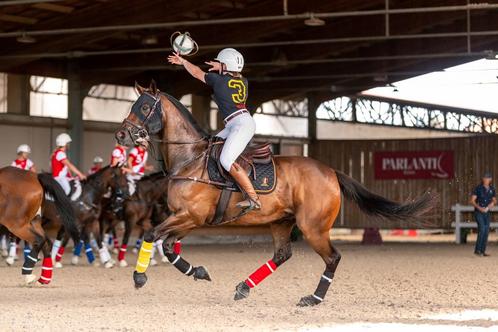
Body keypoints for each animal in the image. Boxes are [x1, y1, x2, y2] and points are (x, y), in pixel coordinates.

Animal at [115, 82, 434, 306]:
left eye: (144, 107)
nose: (121, 135)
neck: (189, 158)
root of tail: (331, 171)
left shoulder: (190, 216)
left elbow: (152, 235)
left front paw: (139, 277)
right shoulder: (189, 219)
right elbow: (169, 247)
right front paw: (199, 272)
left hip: (312, 227)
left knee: (332, 258)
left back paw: (313, 299)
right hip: (282, 221)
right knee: (282, 254)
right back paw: (244, 287)